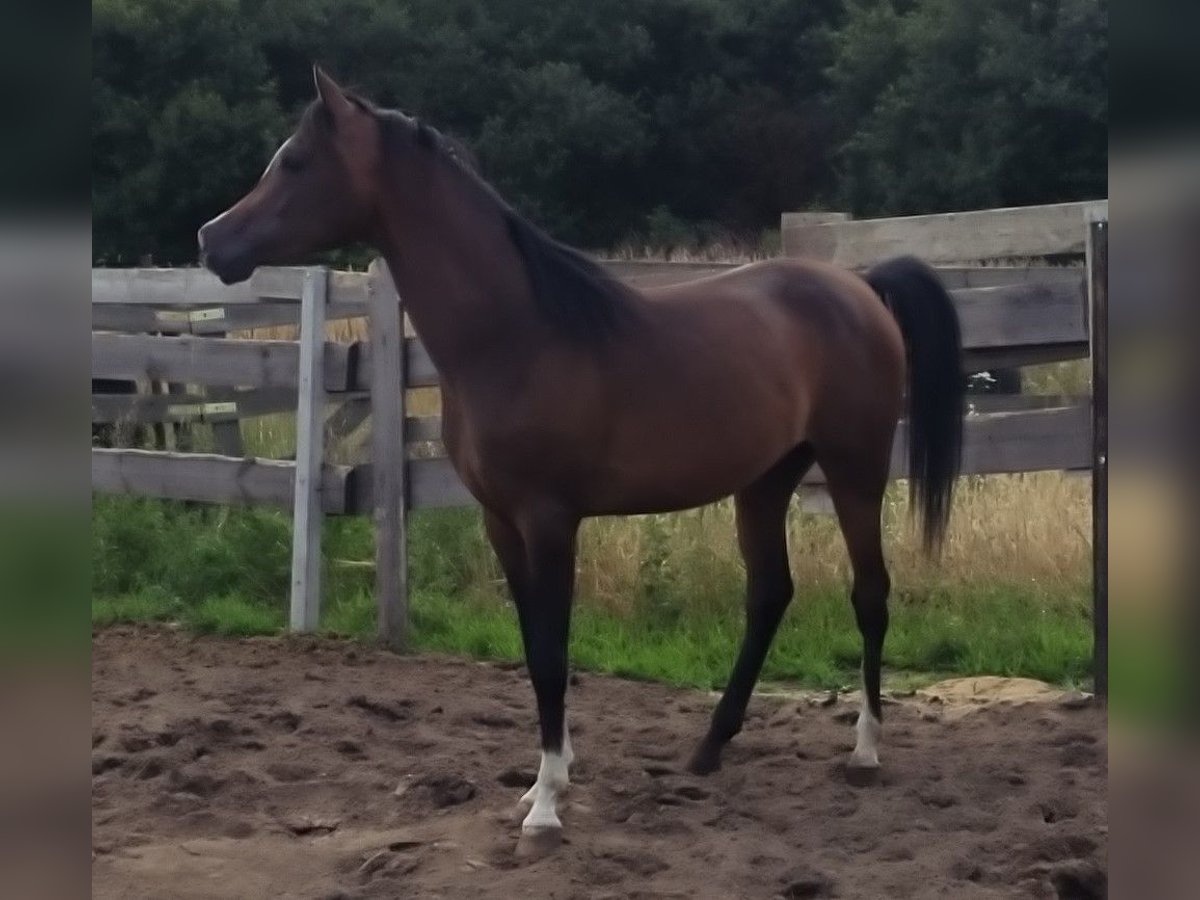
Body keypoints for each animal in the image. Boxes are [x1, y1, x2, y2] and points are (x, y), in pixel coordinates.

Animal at [199, 67, 964, 844]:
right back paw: (710, 746)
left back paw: (865, 750)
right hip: (764, 481)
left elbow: (551, 653)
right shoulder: (502, 522)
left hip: (854, 469)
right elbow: (535, 643)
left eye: (295, 162)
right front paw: (548, 779)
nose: (211, 240)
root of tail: (860, 285)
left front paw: (546, 802)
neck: (516, 335)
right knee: (769, 594)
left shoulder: (549, 519)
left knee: (869, 593)